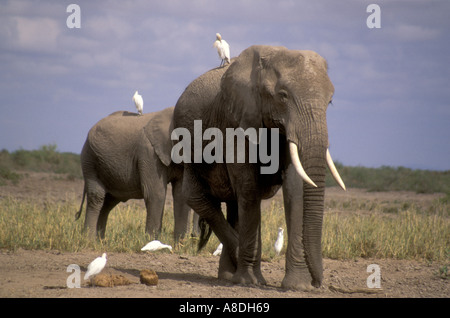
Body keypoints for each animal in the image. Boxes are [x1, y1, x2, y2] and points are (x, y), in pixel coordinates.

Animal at [75, 107, 199, 241]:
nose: (194, 236)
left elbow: (181, 195)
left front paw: (179, 244)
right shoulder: (148, 153)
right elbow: (156, 193)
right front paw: (151, 242)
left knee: (108, 203)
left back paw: (100, 242)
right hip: (90, 159)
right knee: (97, 196)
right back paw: (89, 241)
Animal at [172, 45, 344, 290]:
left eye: (329, 101)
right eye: (283, 96)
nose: (318, 283)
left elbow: (296, 189)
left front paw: (297, 286)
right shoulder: (237, 121)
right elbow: (248, 186)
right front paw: (250, 282)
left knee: (233, 203)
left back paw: (228, 275)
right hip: (187, 144)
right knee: (198, 197)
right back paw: (238, 269)